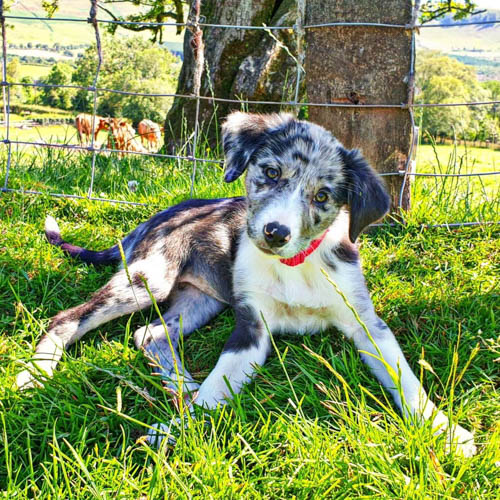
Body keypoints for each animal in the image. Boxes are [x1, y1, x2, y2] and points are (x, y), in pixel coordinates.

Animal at [16, 111, 476, 456]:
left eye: (323, 196)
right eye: (270, 172)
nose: (275, 233)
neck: (293, 265)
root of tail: (158, 215)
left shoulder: (367, 325)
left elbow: (406, 378)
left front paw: (446, 431)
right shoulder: (250, 328)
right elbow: (218, 386)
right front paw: (176, 429)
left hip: (202, 298)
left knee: (150, 335)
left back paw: (183, 385)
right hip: (150, 278)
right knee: (68, 318)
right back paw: (35, 373)